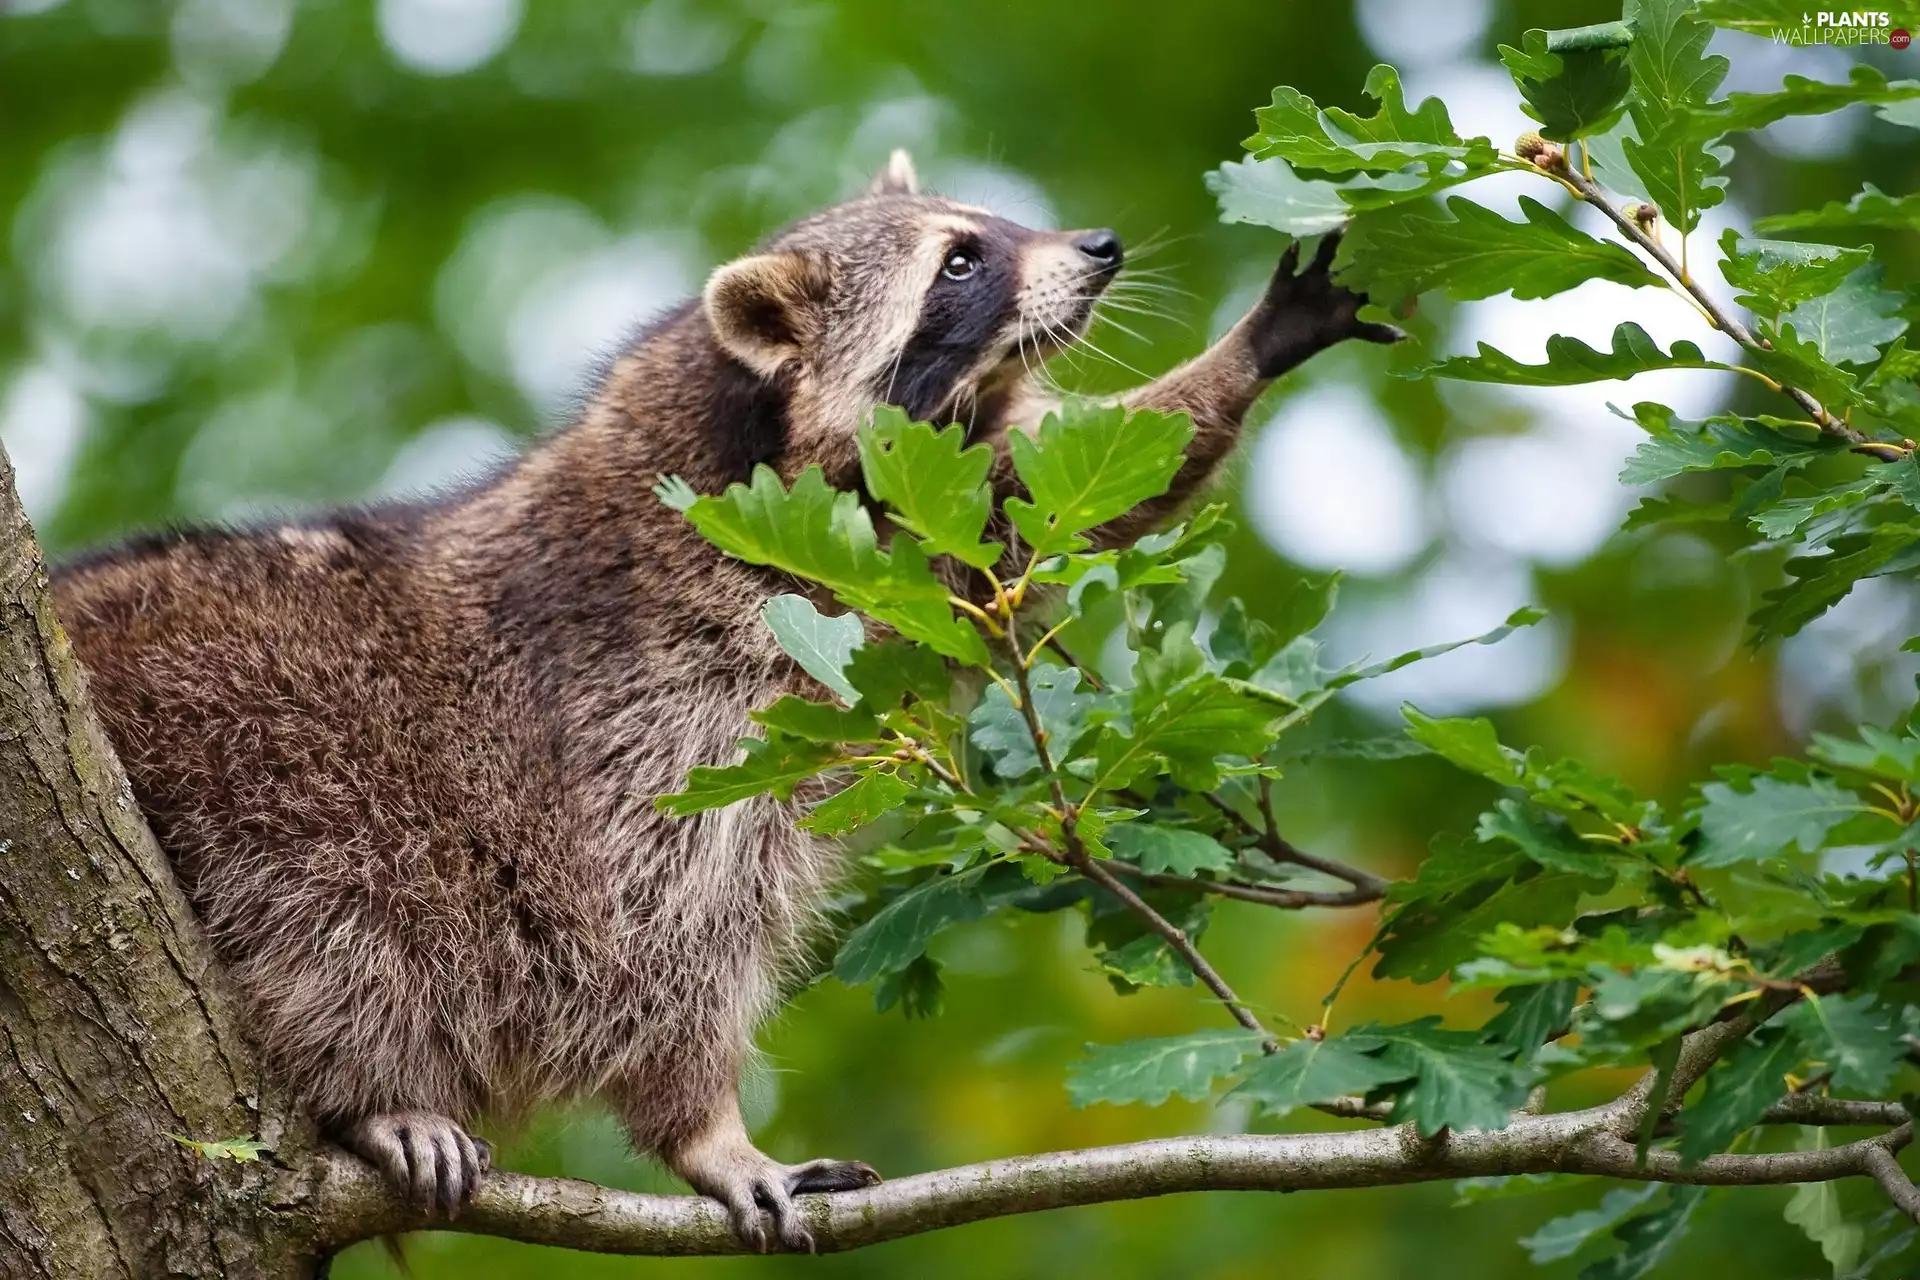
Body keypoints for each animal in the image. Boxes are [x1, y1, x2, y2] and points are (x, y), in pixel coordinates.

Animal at [50, 150, 1396, 1252]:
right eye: (960, 259)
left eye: (994, 221)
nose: (1100, 247)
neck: (753, 432)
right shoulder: (658, 693)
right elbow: (655, 933)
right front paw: (707, 1130)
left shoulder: (928, 534)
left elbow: (1076, 487)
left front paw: (1247, 348)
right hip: (257, 737)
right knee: (344, 909)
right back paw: (376, 1090)